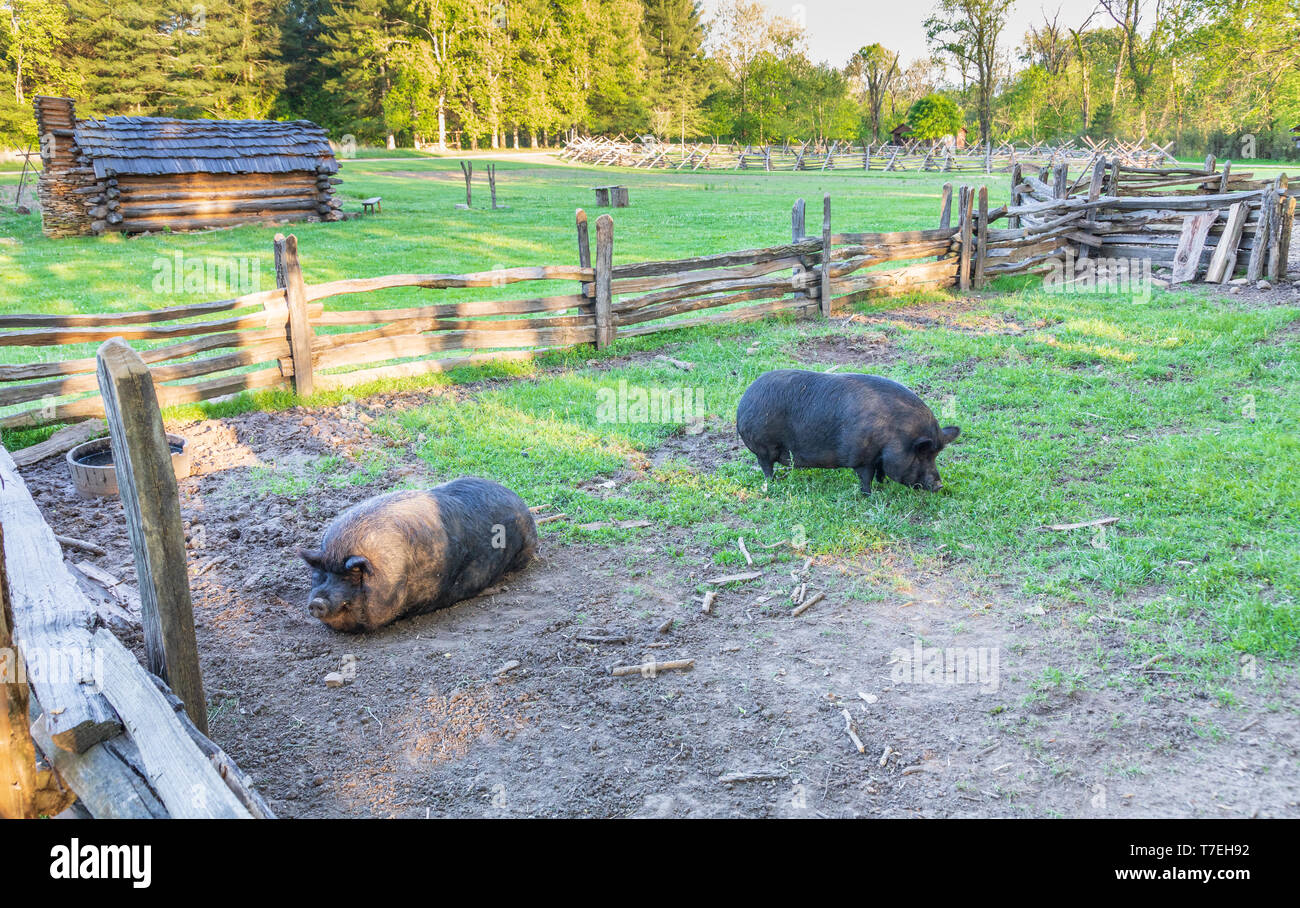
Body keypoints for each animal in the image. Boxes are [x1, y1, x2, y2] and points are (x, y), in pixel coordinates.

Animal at [736, 369, 960, 495]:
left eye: (935, 455)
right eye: (922, 455)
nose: (940, 486)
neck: (894, 435)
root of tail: (743, 402)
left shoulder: (878, 457)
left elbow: (881, 473)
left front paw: (884, 485)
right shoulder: (862, 457)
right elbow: (866, 477)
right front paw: (869, 495)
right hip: (764, 446)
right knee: (766, 466)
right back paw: (772, 483)